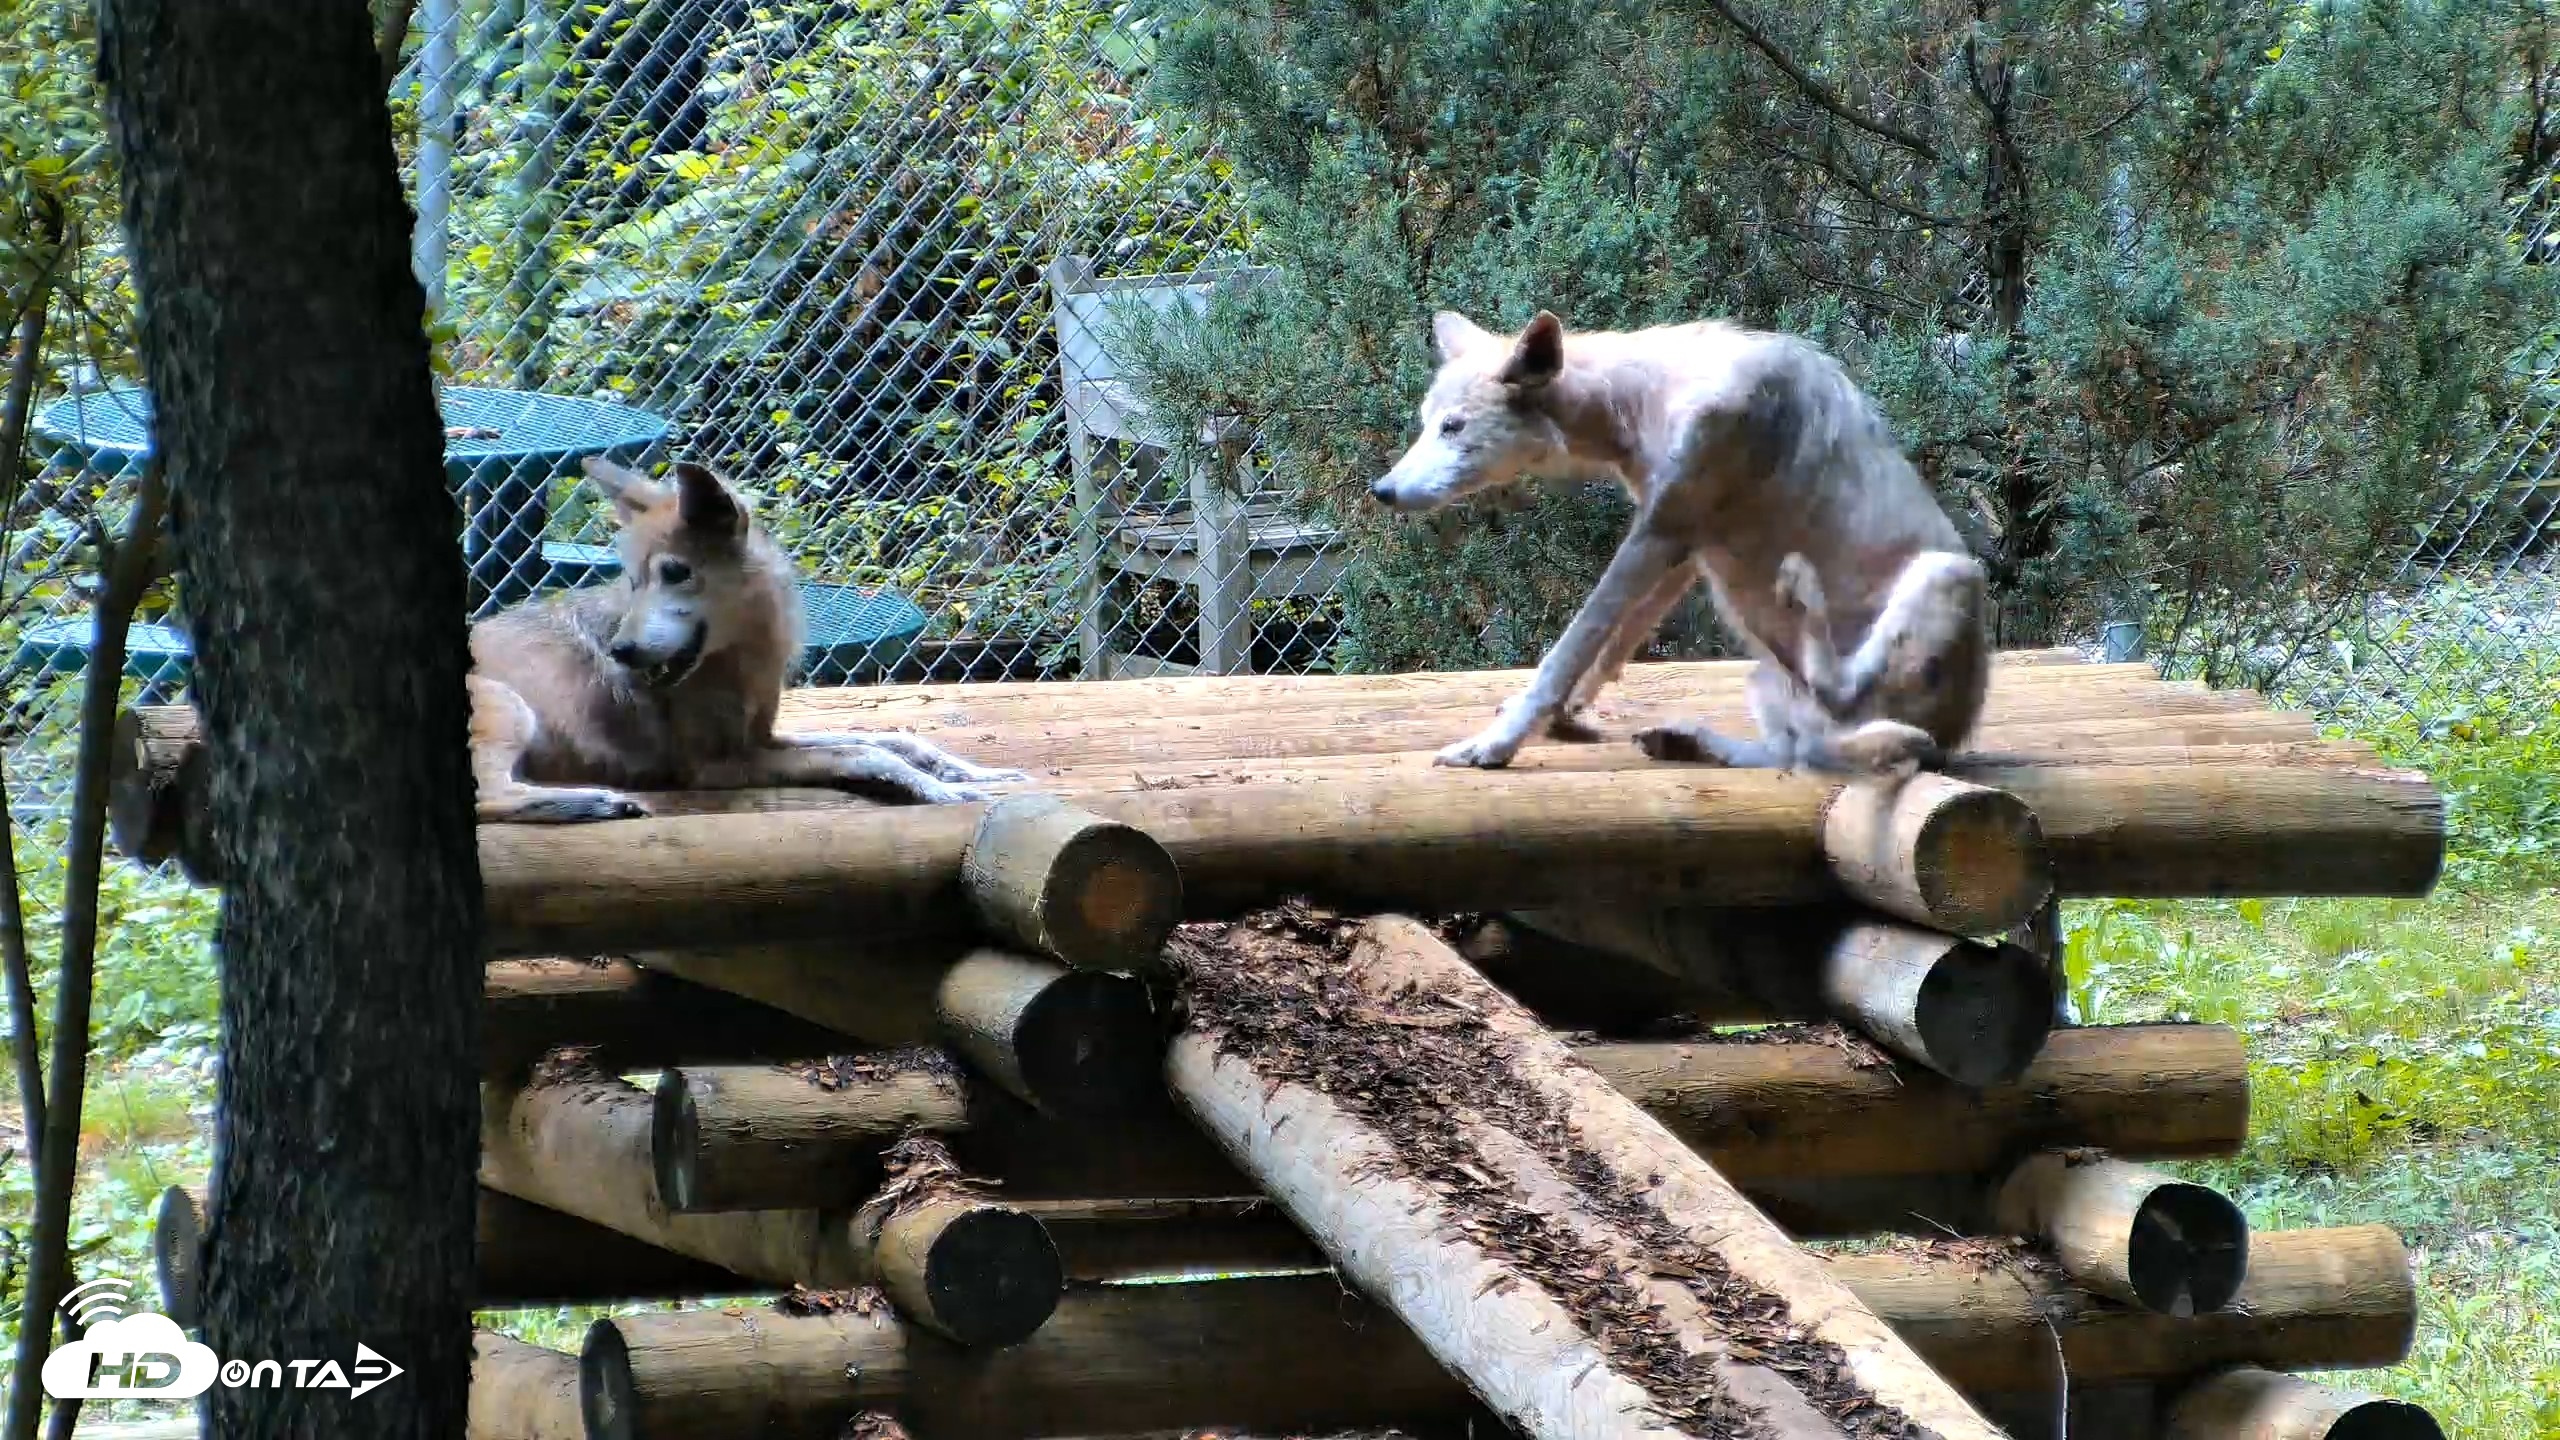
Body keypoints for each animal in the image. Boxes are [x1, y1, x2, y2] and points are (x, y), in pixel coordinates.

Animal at [467, 456, 1029, 822]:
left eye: (674, 573)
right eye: (633, 581)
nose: (620, 653)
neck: (740, 659)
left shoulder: (761, 737)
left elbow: (894, 739)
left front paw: (976, 775)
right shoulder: (717, 764)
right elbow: (865, 753)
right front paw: (946, 794)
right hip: (510, 708)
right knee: (487, 799)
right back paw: (595, 802)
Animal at [1368, 308, 1991, 776]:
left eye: (1453, 427)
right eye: (1424, 423)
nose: (1383, 491)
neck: (1641, 402)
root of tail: (1947, 744)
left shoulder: (1659, 532)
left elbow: (1571, 647)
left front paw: (1497, 743)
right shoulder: (1676, 541)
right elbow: (1614, 644)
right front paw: (1566, 717)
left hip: (1948, 574)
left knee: (1834, 709)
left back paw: (1803, 598)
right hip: (1766, 678)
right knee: (1795, 756)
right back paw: (1688, 741)